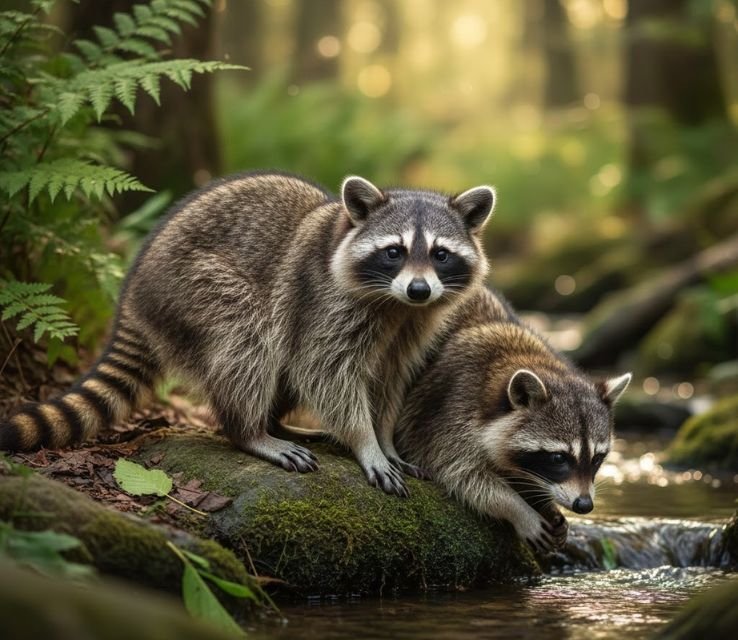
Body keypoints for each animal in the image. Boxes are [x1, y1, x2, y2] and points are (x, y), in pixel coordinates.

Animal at [0, 171, 495, 496]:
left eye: (441, 254)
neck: (395, 305)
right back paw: (250, 431)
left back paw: (275, 420)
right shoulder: (323, 300)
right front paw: (365, 441)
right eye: (394, 252)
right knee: (249, 336)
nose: (418, 289)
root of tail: (133, 293)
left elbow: (390, 380)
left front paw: (386, 439)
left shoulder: (413, 324)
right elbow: (325, 372)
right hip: (193, 286)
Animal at [395, 288, 630, 550]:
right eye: (559, 458)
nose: (584, 504)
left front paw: (543, 502)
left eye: (597, 458)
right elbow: (460, 473)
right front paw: (517, 508)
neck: (527, 359)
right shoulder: (449, 409)